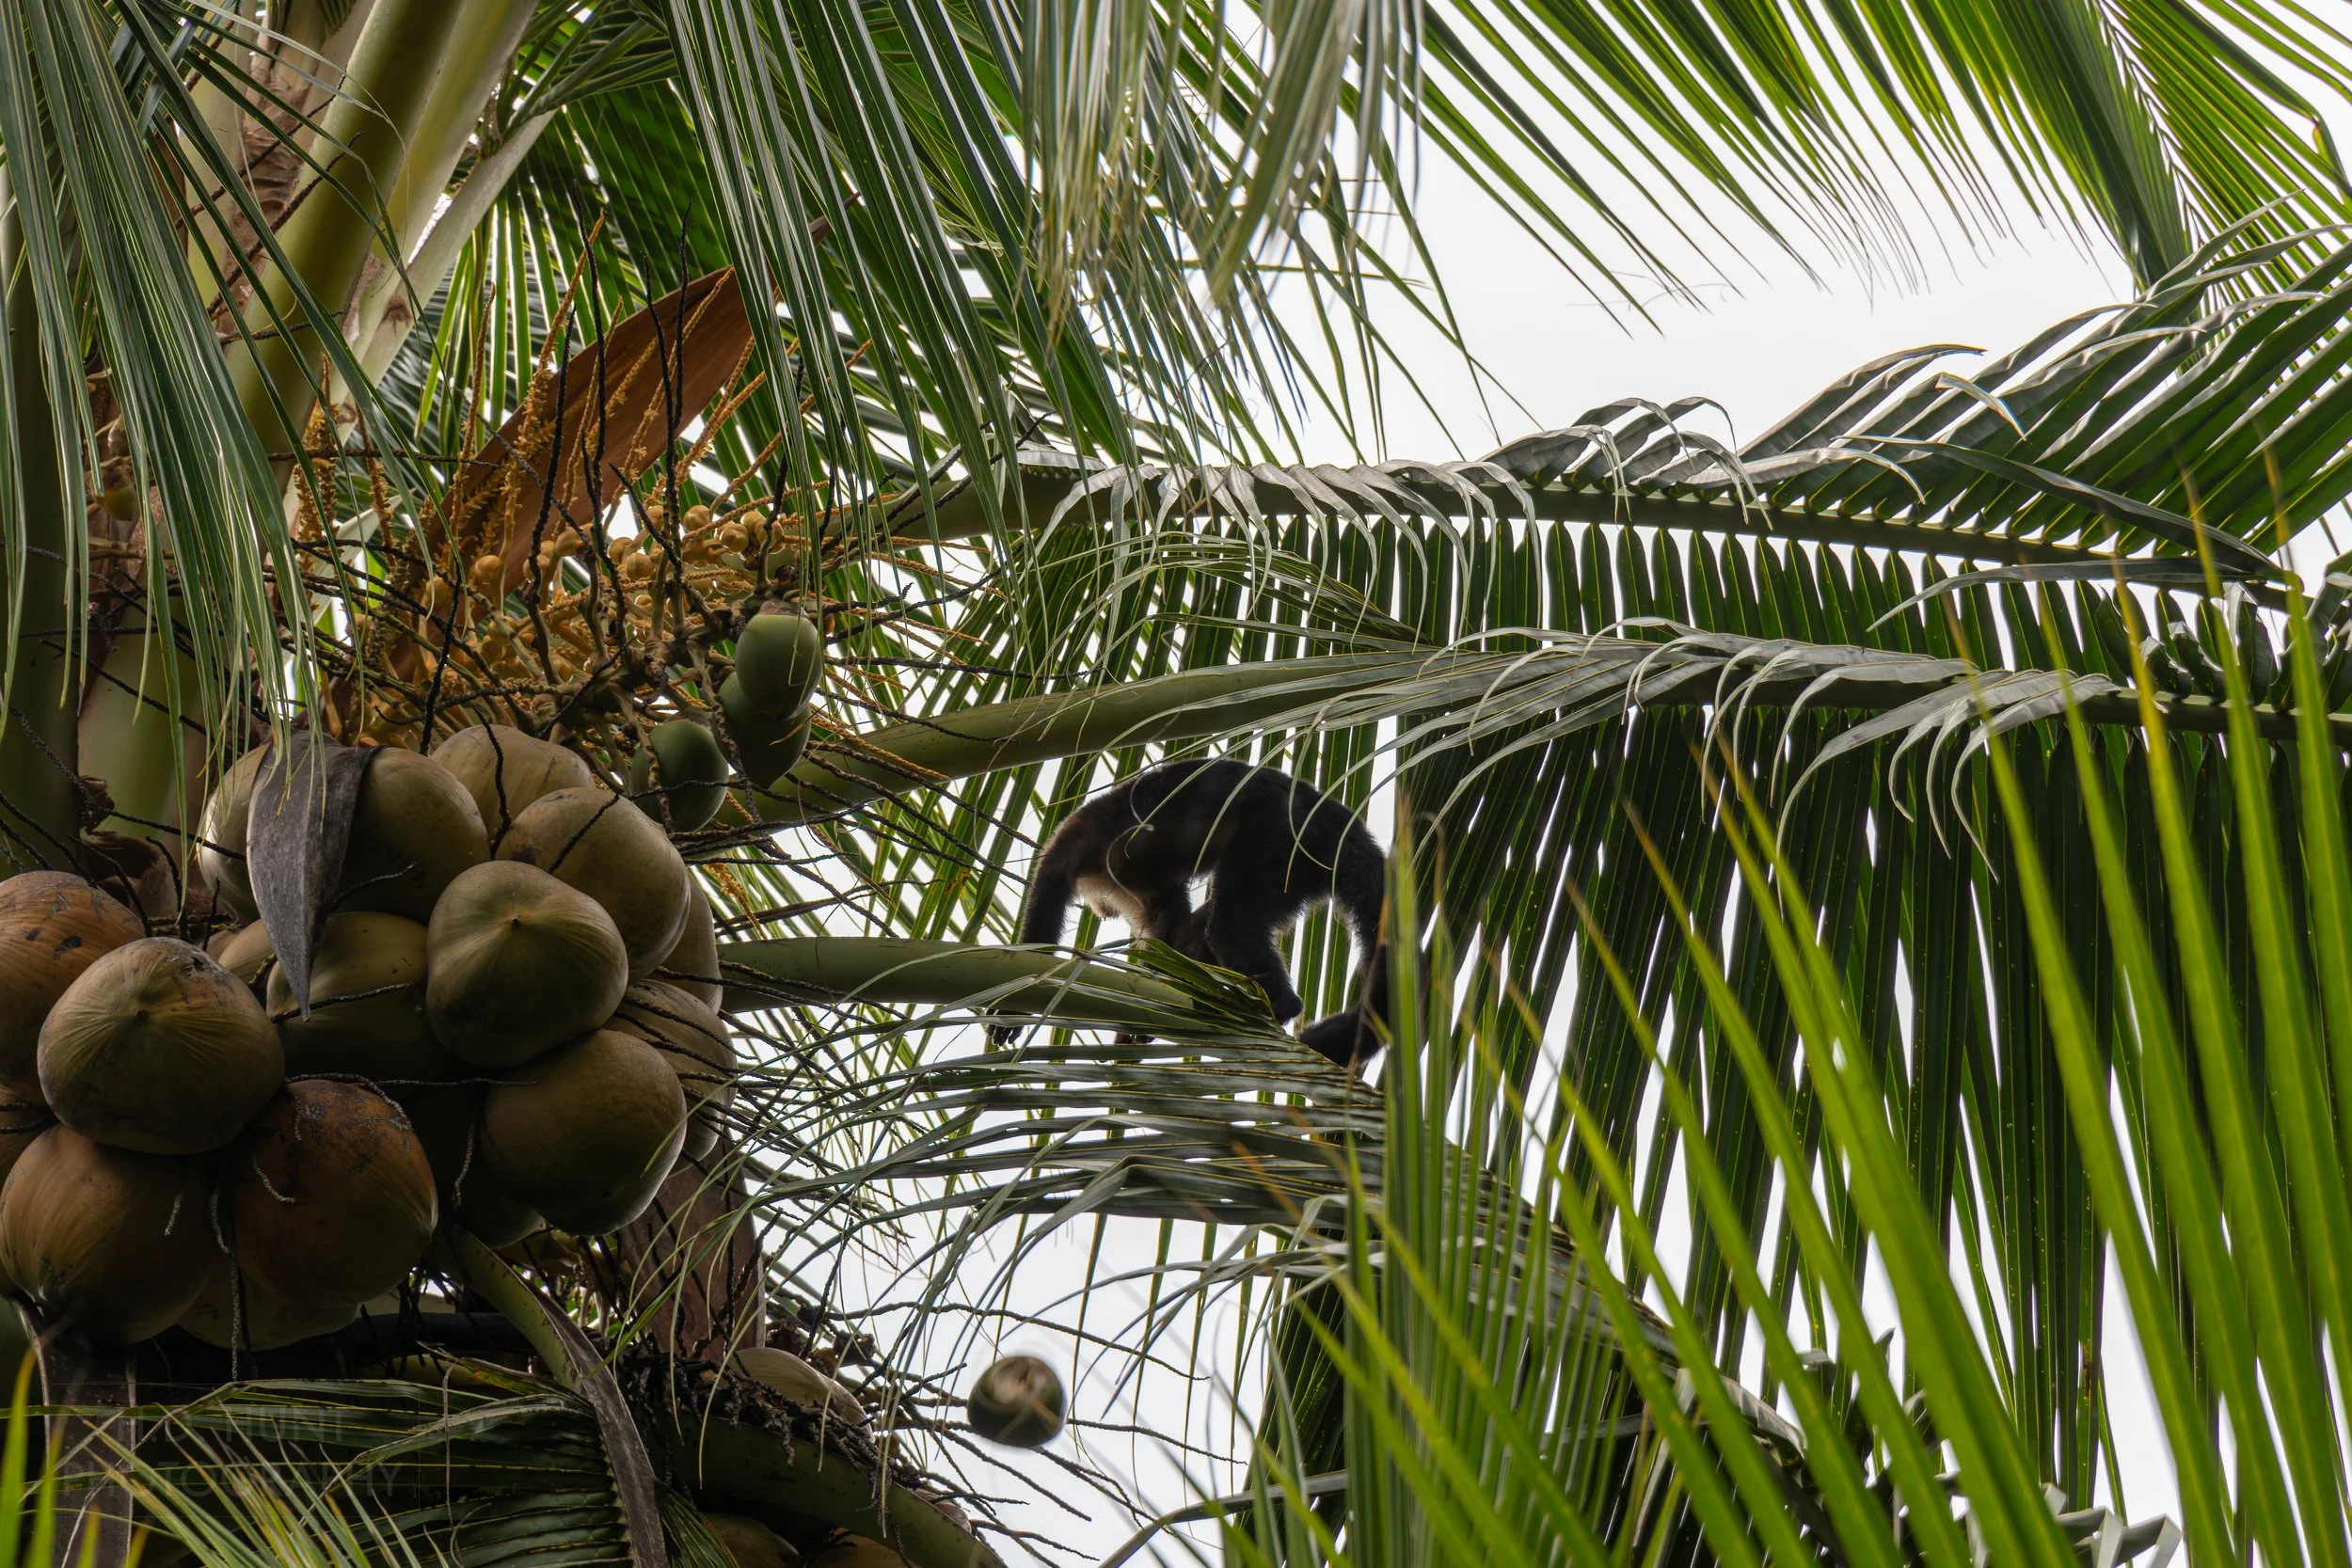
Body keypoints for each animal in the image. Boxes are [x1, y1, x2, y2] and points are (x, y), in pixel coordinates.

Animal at [999, 758, 1389, 1065]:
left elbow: (1046, 904)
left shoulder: (1083, 839)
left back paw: (1283, 1004)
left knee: (1228, 924)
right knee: (1209, 926)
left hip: (1282, 831)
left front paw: (1010, 1011)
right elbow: (1166, 936)